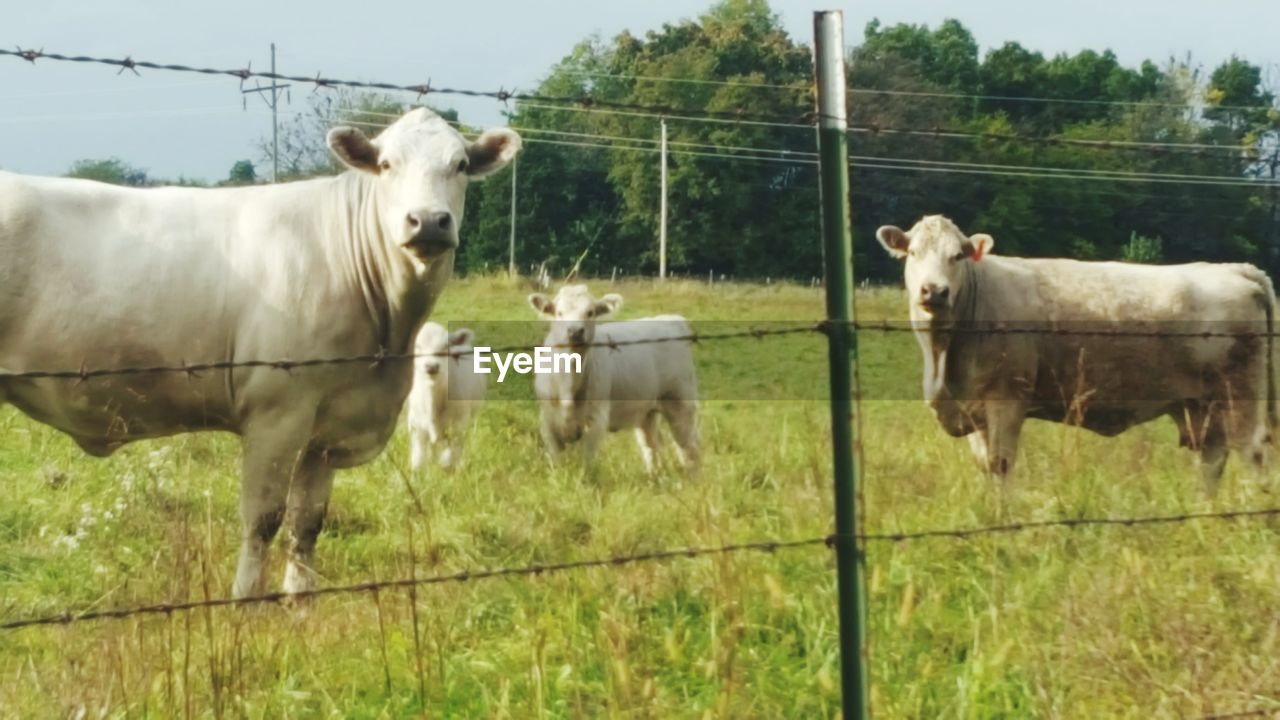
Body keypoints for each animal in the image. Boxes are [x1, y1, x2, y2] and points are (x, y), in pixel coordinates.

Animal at [407, 320, 486, 468]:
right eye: (417, 346)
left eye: (446, 346)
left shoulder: (457, 427)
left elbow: (448, 462)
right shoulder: (416, 427)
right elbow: (418, 462)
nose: (431, 366)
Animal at [875, 212, 1274, 491]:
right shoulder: (973, 407)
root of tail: (1234, 268)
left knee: (1252, 452)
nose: (934, 290)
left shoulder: (1007, 398)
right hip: (1200, 405)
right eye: (913, 253)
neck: (944, 356)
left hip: (1238, 394)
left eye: (957, 256)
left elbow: (1001, 463)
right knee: (1212, 458)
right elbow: (985, 466)